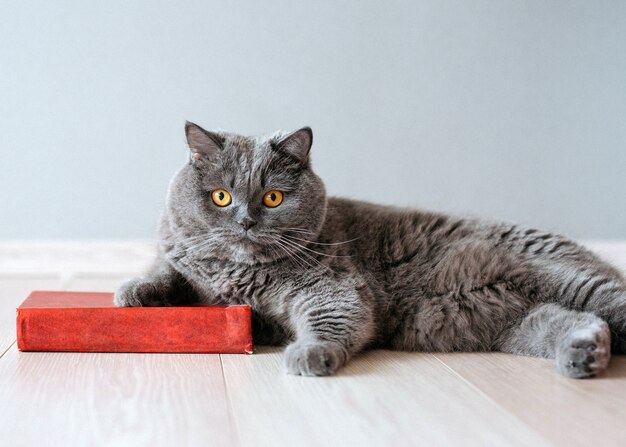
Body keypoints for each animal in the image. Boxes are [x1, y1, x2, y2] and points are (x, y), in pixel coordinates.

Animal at [113, 121, 624, 378]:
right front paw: (134, 292)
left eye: (273, 198)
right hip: (514, 323)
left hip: (569, 279)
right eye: (221, 196)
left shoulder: (334, 285)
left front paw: (309, 354)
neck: (238, 273)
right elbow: (170, 273)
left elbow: (334, 317)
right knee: (564, 321)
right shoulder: (189, 263)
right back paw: (584, 354)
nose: (245, 221)